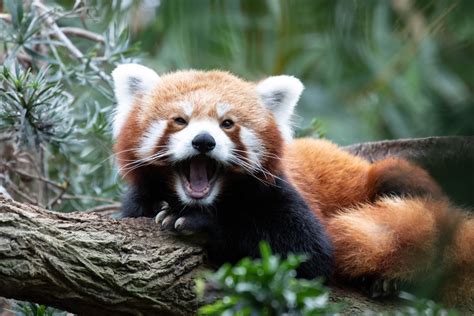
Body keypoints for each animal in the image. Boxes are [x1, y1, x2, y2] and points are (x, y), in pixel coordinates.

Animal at [111, 65, 470, 306]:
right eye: (180, 121)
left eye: (227, 124)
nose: (203, 141)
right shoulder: (137, 202)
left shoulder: (282, 193)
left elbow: (309, 252)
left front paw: (200, 223)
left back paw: (388, 281)